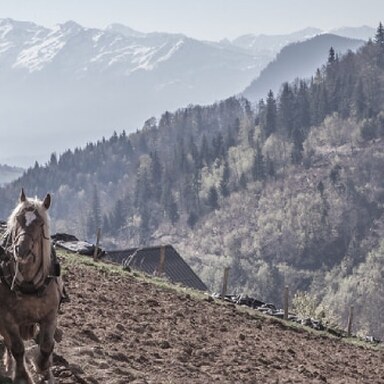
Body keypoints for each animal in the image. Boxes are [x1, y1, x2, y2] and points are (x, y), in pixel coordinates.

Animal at [0, 190, 62, 384]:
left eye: (41, 223)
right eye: (18, 218)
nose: (21, 250)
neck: (28, 284)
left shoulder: (50, 315)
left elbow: (47, 345)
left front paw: (42, 365)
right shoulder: (7, 318)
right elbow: (17, 348)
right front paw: (22, 376)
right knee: (8, 343)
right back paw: (9, 364)